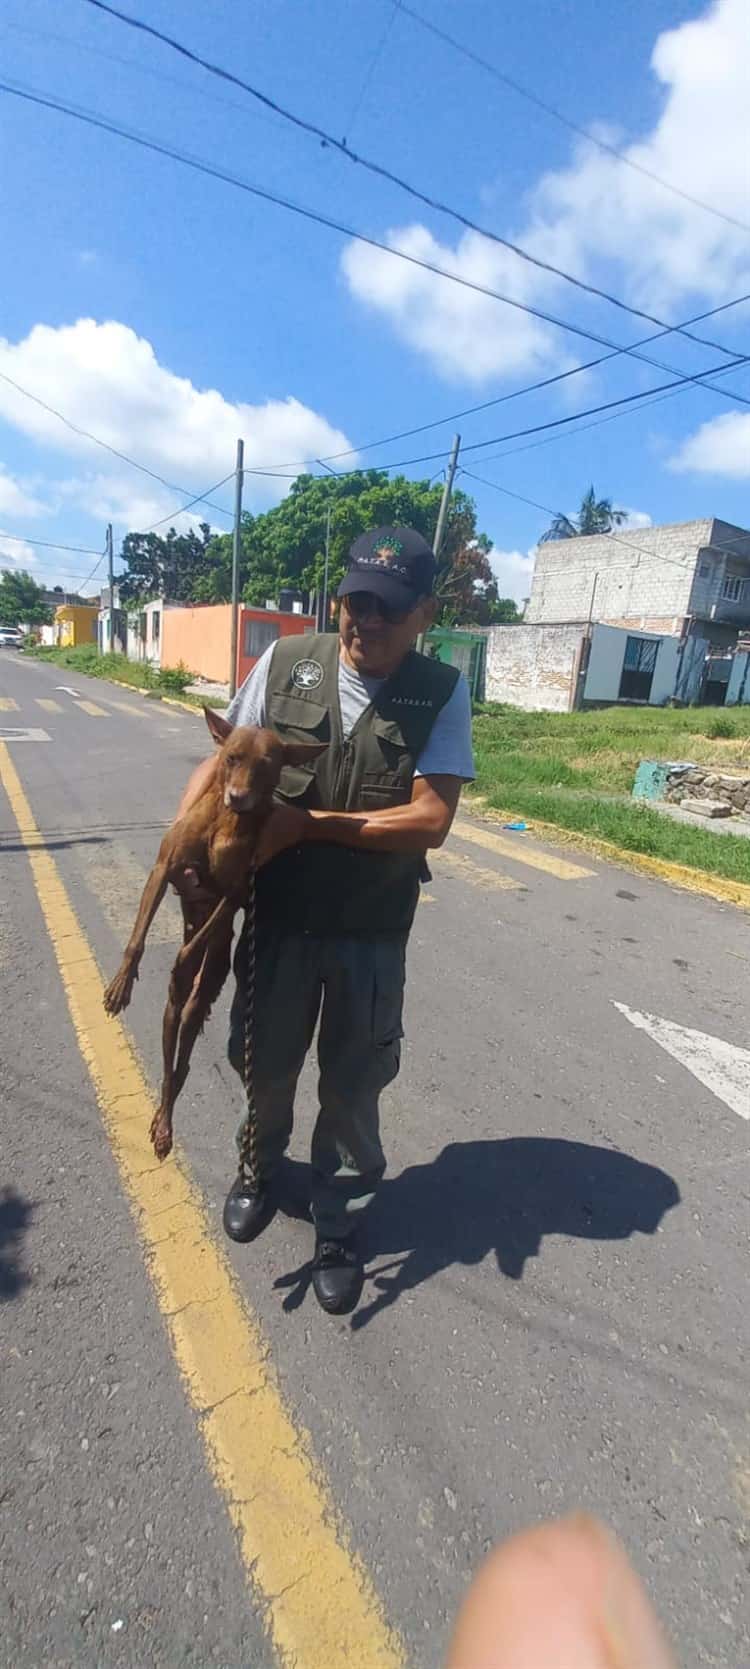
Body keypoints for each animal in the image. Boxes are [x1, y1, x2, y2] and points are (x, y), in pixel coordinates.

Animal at [101, 704, 322, 1161]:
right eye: (231, 758)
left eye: (266, 765)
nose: (237, 797)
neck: (225, 820)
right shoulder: (164, 870)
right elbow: (137, 938)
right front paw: (120, 985)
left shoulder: (233, 894)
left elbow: (199, 938)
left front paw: (183, 959)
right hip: (172, 1013)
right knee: (171, 1062)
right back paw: (162, 1116)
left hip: (204, 991)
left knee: (182, 1060)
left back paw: (165, 1122)